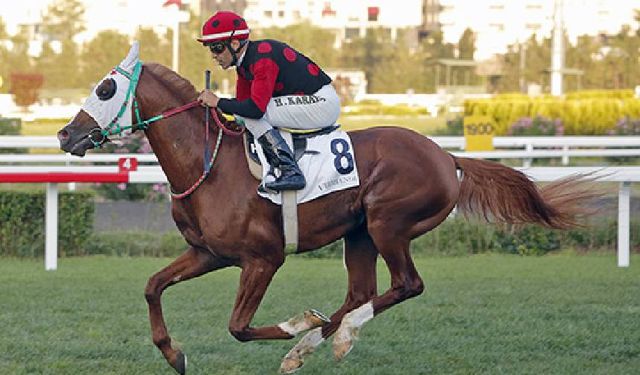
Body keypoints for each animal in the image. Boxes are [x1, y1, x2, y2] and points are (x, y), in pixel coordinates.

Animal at [57, 45, 596, 374]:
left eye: (105, 89)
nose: (65, 134)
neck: (209, 164)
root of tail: (448, 157)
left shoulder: (263, 258)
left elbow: (239, 326)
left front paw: (298, 324)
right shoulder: (208, 253)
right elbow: (152, 286)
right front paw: (174, 354)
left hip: (387, 222)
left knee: (406, 285)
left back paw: (331, 336)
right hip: (358, 233)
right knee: (362, 291)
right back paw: (312, 344)